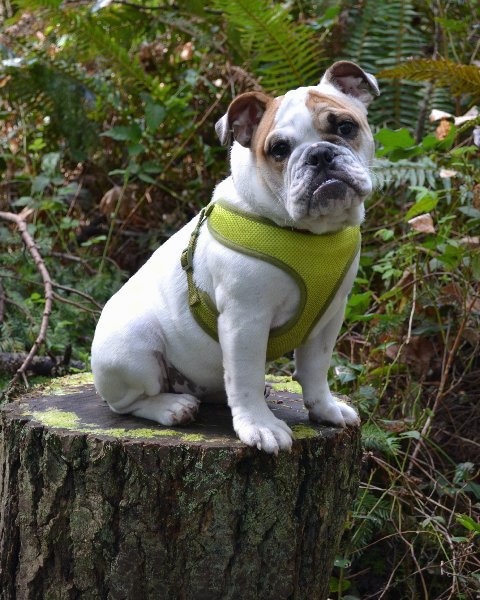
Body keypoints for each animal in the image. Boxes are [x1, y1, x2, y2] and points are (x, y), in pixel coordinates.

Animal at [91, 62, 378, 454]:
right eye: (279, 149)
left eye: (346, 127)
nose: (319, 154)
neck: (309, 235)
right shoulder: (245, 320)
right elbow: (245, 376)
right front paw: (259, 426)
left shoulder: (328, 318)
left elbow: (316, 369)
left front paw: (325, 409)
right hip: (133, 347)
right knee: (127, 403)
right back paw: (171, 407)